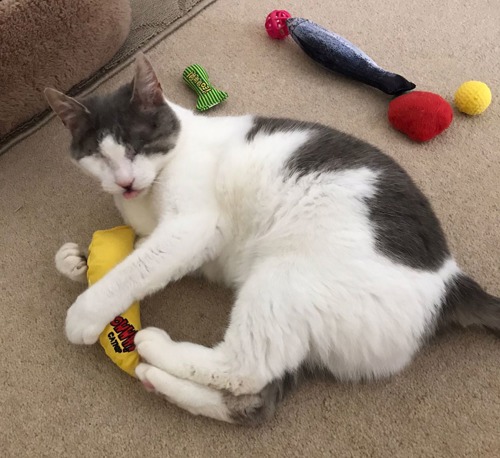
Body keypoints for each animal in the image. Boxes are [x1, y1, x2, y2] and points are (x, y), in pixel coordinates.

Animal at [45, 53, 498, 426]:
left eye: (138, 146)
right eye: (99, 157)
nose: (124, 182)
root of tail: (450, 281)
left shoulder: (192, 228)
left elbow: (135, 270)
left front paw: (85, 311)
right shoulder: (170, 238)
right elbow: (135, 256)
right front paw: (78, 261)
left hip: (285, 278)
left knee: (244, 369)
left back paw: (155, 347)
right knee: (255, 400)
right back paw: (155, 377)